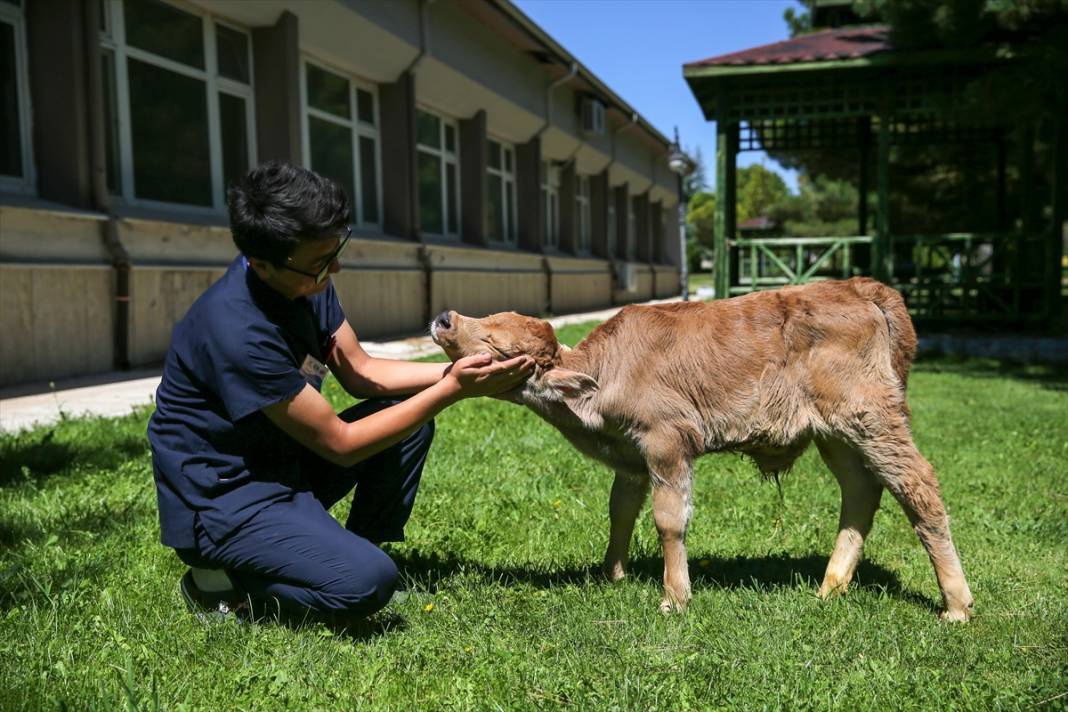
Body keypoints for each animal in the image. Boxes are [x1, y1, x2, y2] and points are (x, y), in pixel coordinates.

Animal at [429, 275, 974, 619]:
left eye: (498, 346)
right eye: (488, 317)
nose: (444, 317)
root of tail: (859, 287)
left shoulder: (666, 442)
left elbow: (669, 519)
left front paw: (674, 597)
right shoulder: (630, 457)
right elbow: (621, 509)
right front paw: (613, 574)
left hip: (871, 418)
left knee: (917, 485)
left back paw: (955, 605)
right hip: (835, 434)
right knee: (861, 490)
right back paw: (830, 587)